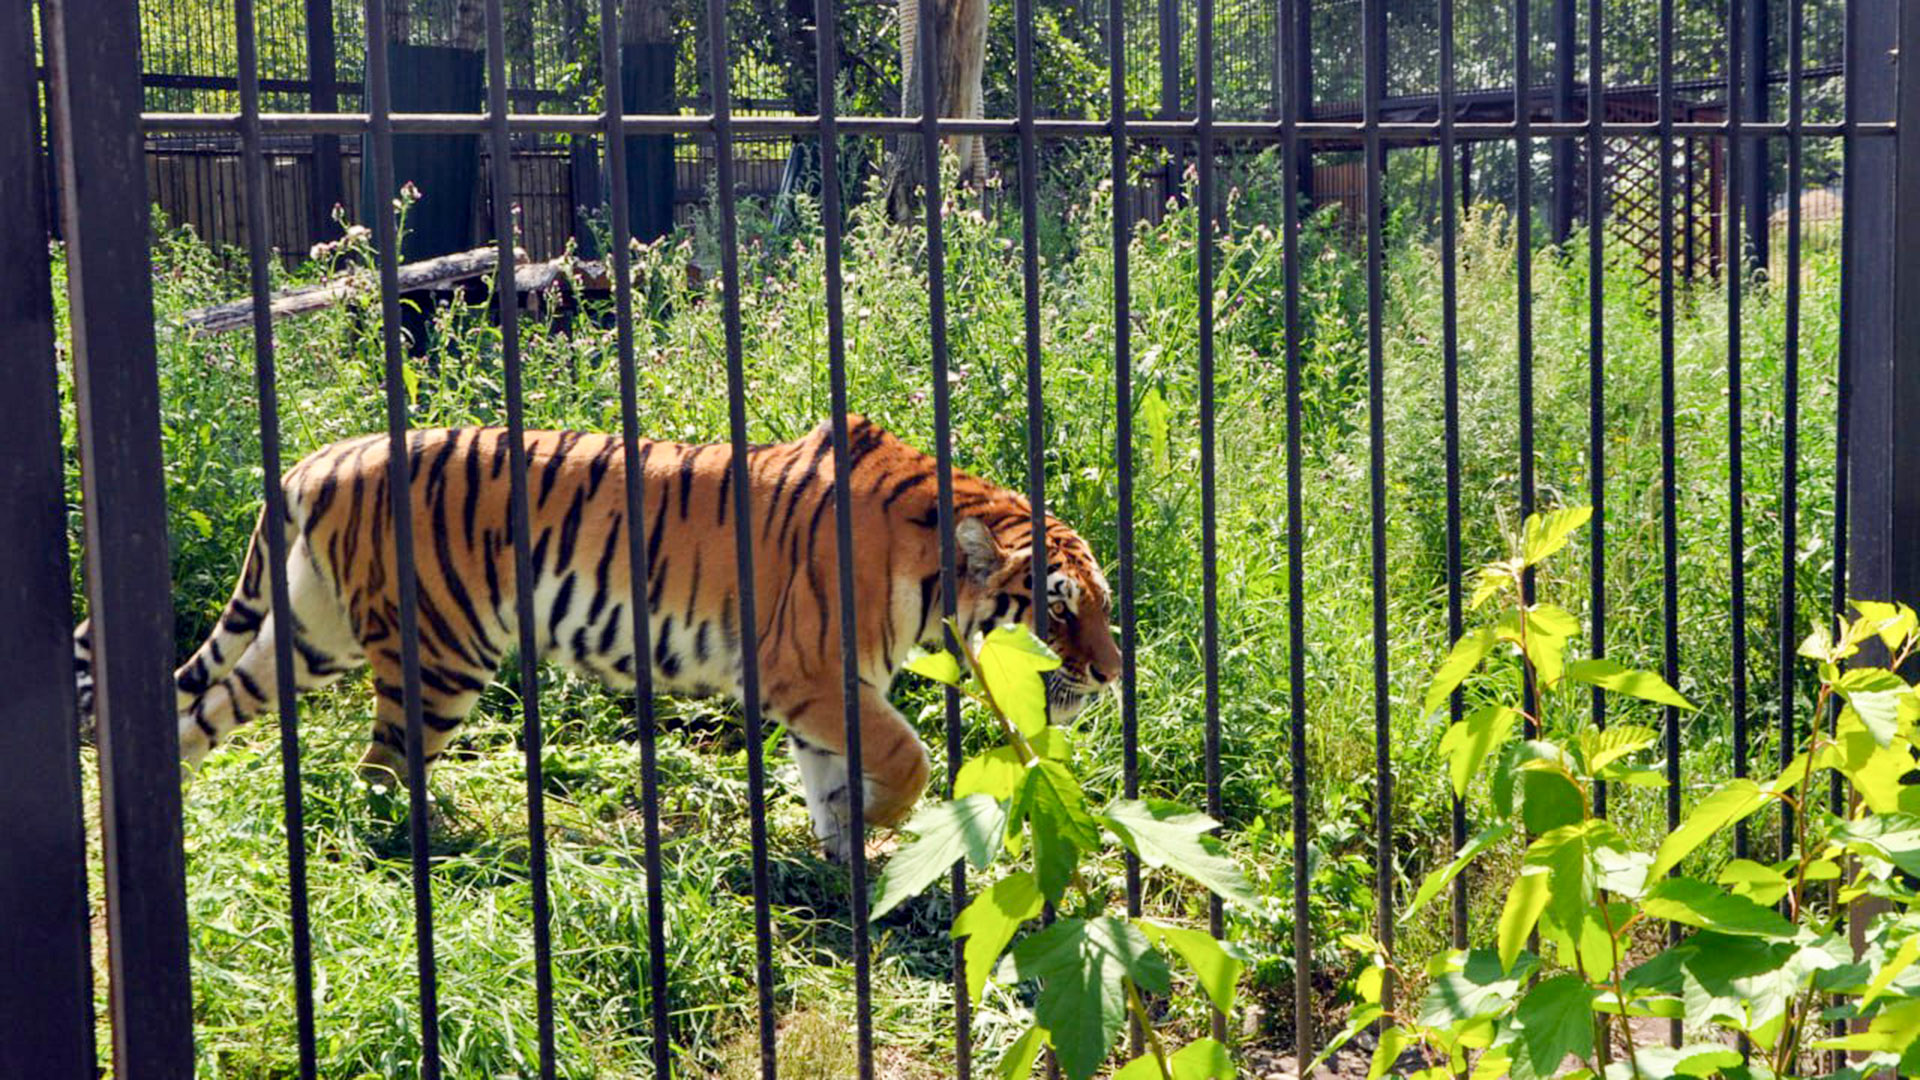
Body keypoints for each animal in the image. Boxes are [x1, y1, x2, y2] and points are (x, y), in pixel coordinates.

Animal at [71, 411, 1121, 857]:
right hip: (439, 657)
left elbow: (833, 776)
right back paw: (423, 841)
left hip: (306, 637)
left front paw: (843, 855)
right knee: (381, 766)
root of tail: (321, 457)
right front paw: (872, 828)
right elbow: (903, 757)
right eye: (1061, 609)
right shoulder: (808, 672)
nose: (1113, 674)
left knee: (203, 710)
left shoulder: (824, 692)